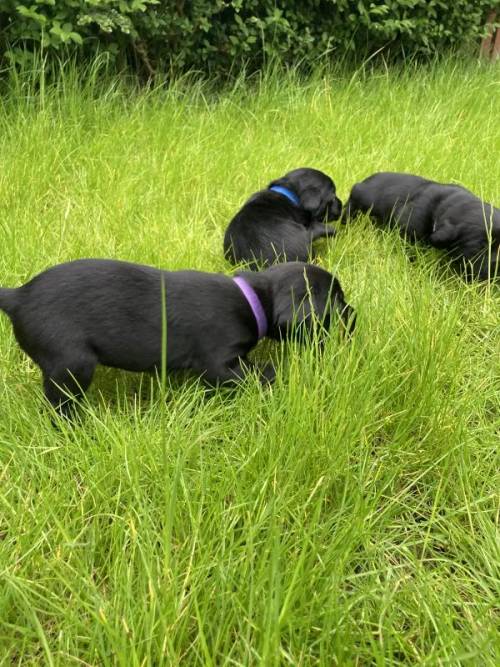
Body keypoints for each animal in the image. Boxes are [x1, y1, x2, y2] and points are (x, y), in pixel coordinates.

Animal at [0, 258, 356, 414]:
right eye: (335, 299)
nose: (354, 314)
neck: (253, 298)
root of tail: (18, 297)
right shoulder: (219, 363)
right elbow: (257, 373)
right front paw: (277, 378)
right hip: (72, 363)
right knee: (59, 403)